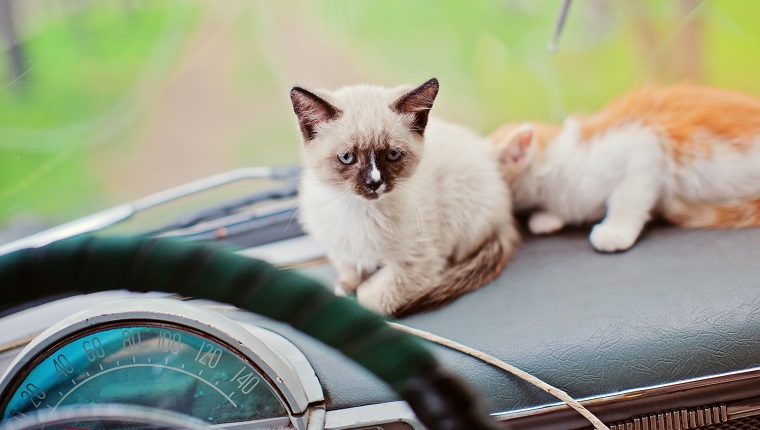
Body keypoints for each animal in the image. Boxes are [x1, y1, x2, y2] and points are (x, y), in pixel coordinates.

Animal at [288, 79, 520, 318]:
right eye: (347, 158)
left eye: (392, 155)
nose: (374, 182)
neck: (360, 210)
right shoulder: (337, 246)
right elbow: (349, 269)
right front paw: (347, 285)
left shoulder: (418, 261)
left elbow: (374, 298)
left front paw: (362, 291)